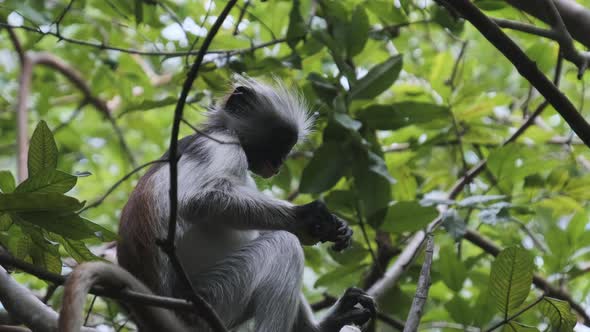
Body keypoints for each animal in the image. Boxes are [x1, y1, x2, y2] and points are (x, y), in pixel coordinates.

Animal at [117, 76, 374, 332]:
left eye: (288, 147)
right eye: (279, 142)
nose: (279, 164)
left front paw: (339, 227)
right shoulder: (222, 143)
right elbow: (201, 199)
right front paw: (307, 218)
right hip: (205, 302)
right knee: (284, 244)